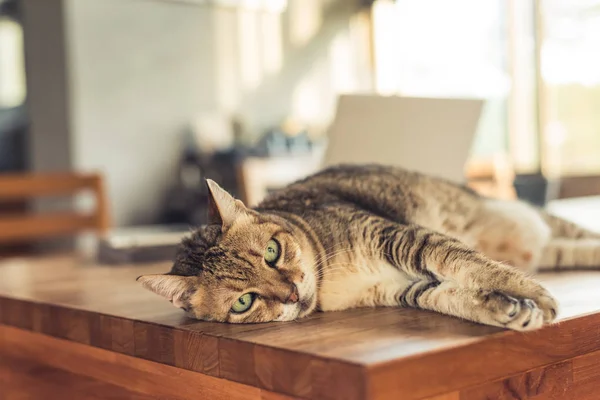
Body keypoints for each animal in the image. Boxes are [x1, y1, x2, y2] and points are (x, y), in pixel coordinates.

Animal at [137, 164, 600, 330]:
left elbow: (470, 263)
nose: (292, 294)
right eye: (243, 302)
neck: (329, 279)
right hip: (551, 248)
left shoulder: (401, 237)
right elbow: (451, 297)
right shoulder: (402, 288)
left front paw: (534, 295)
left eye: (271, 252)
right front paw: (507, 309)